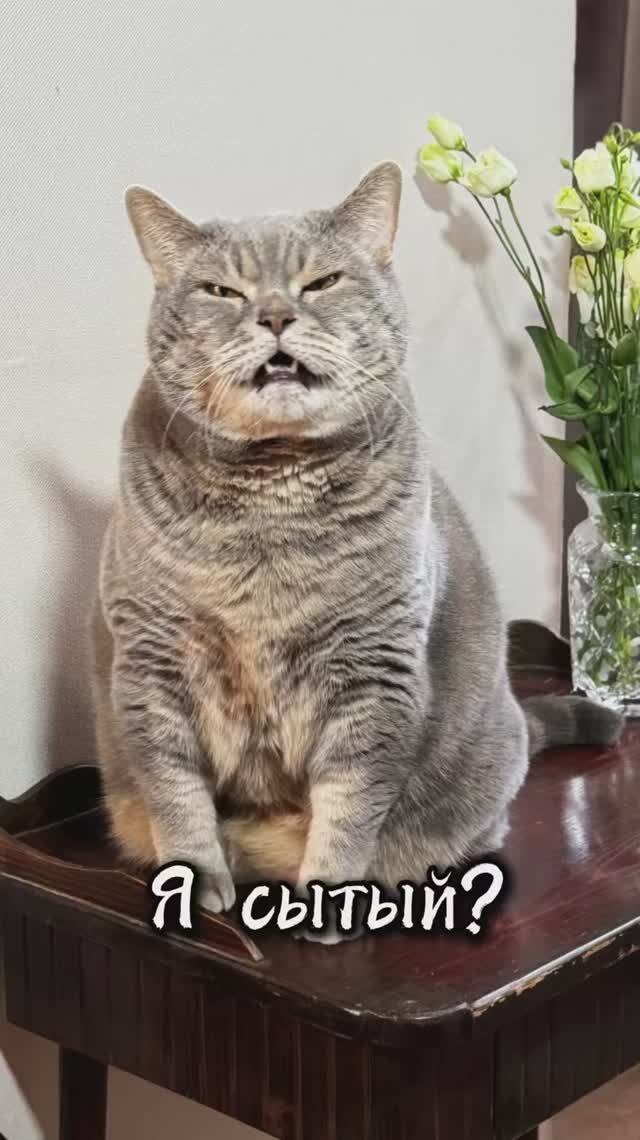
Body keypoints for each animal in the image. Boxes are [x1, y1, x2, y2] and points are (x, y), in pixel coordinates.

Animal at [91, 162, 621, 942]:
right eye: (223, 292)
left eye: (321, 282)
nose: (275, 315)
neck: (269, 508)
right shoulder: (150, 663)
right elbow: (175, 792)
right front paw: (197, 886)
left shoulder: (375, 672)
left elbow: (349, 807)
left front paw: (326, 906)